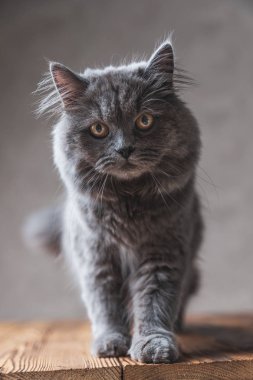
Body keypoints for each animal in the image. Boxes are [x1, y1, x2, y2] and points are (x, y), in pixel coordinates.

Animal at [25, 40, 204, 364]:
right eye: (99, 129)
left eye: (144, 120)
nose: (125, 149)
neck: (128, 204)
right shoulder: (97, 258)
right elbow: (105, 307)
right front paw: (110, 342)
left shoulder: (162, 255)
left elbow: (155, 303)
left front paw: (154, 346)